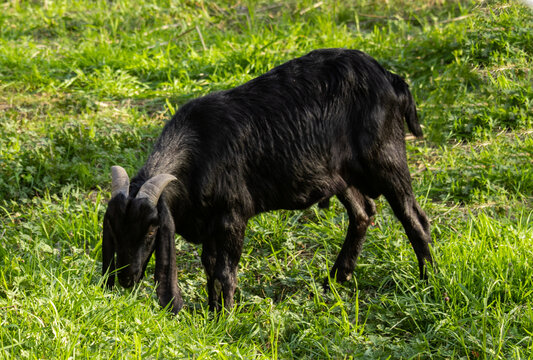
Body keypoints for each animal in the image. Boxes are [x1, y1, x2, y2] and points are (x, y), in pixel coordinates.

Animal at [103, 49, 432, 314]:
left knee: (414, 218)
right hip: (341, 176)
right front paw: (212, 312)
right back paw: (335, 280)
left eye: (151, 231)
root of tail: (390, 78)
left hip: (386, 159)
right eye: (115, 230)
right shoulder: (209, 225)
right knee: (363, 213)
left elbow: (224, 272)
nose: (125, 279)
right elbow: (209, 267)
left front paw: (225, 317)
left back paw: (428, 282)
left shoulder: (233, 217)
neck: (197, 147)